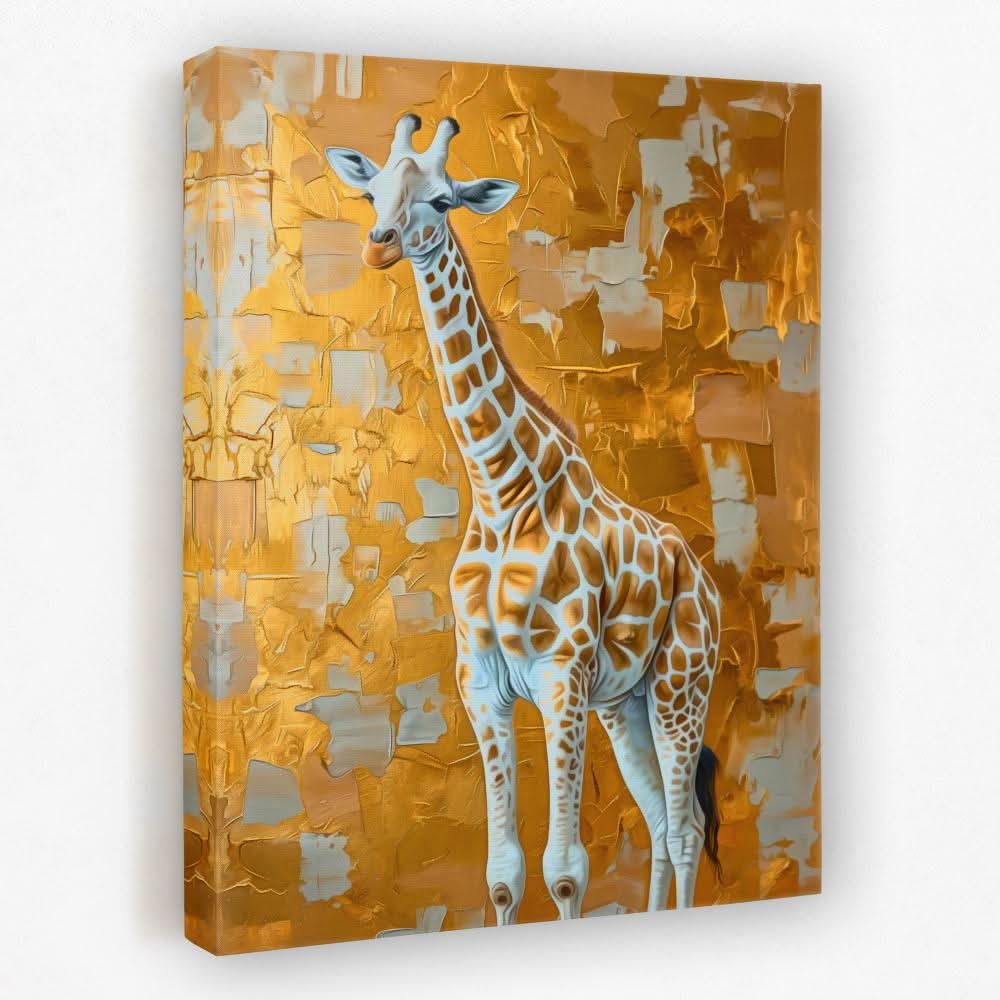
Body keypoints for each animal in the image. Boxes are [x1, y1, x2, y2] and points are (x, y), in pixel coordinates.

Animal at [327, 114, 723, 925]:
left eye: (442, 199)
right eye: (374, 191)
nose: (378, 244)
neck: (500, 491)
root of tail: (705, 582)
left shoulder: (559, 676)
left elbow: (565, 871)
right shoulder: (482, 683)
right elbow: (505, 873)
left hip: (681, 686)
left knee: (687, 828)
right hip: (627, 704)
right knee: (661, 825)